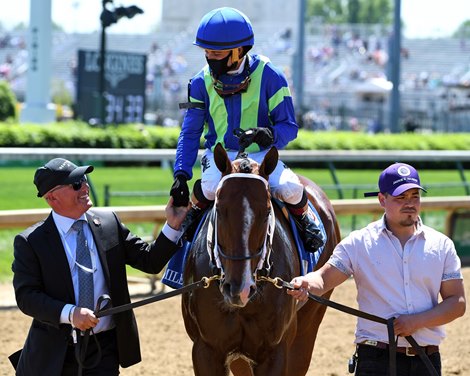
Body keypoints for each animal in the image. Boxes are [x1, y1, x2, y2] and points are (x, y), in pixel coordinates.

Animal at [182, 142, 340, 374]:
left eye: (266, 212)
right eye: (219, 208)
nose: (240, 288)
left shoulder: (275, 350)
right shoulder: (206, 349)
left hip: (309, 323)